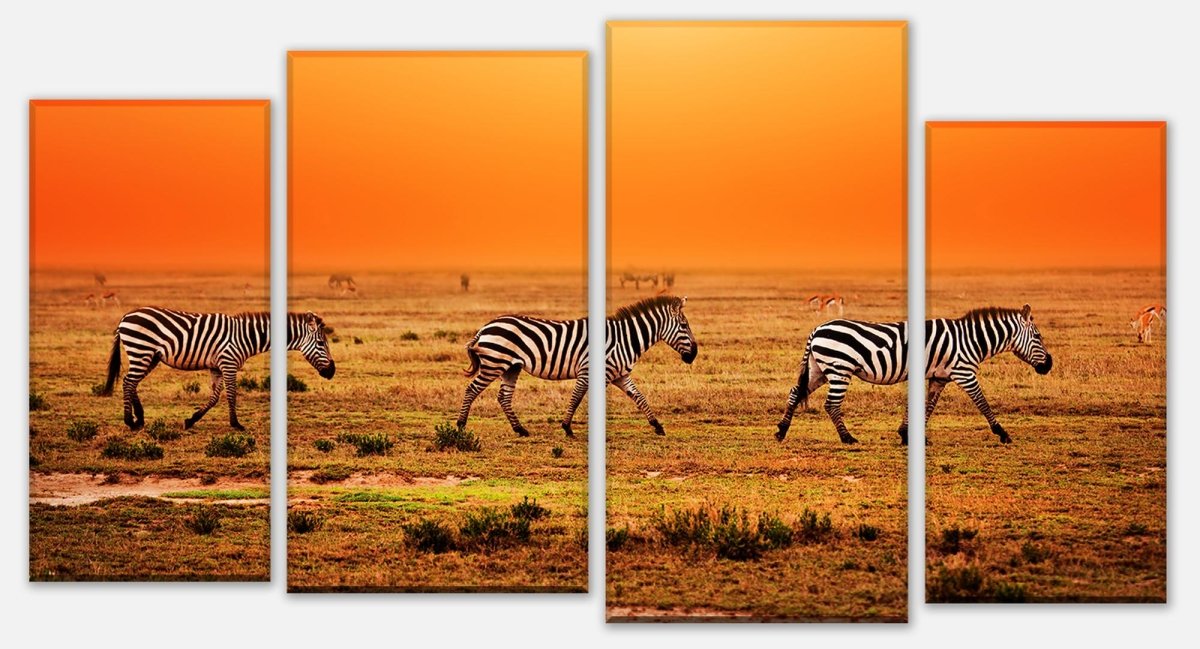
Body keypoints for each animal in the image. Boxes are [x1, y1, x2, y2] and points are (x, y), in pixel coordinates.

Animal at [99, 308, 335, 431]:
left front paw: (191, 419)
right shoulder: (229, 363)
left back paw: (139, 419)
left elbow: (214, 397)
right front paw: (236, 424)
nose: (332, 372)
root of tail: (125, 317)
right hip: (141, 350)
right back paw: (130, 421)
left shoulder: (217, 367)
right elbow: (231, 394)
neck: (246, 337)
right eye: (321, 343)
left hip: (150, 356)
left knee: (132, 382)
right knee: (128, 381)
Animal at [456, 295, 697, 438]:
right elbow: (578, 397)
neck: (624, 339)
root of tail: (486, 326)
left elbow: (639, 397)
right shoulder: (591, 372)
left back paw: (520, 429)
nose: (694, 355)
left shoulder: (620, 375)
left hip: (510, 367)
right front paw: (567, 428)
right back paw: (460, 425)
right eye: (684, 325)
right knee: (472, 389)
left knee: (503, 397)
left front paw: (657, 425)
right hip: (494, 363)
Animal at [775, 305, 1052, 446]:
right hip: (839, 368)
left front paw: (908, 435)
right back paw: (848, 438)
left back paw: (781, 430)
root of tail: (818, 328)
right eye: (1038, 336)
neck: (970, 340)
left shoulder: (938, 377)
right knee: (831, 404)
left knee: (795, 391)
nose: (1048, 365)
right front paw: (1003, 433)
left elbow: (927, 407)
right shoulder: (964, 372)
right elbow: (982, 403)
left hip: (819, 369)